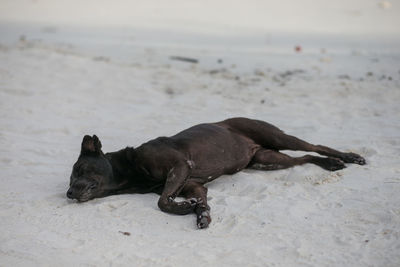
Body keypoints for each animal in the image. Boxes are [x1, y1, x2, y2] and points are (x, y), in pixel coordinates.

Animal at [68, 118, 366, 229]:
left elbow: (162, 201)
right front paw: (198, 212)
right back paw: (331, 165)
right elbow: (195, 201)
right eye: (71, 178)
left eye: (79, 170)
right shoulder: (193, 185)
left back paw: (348, 157)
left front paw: (185, 208)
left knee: (314, 146)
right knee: (303, 159)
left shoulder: (180, 166)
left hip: (277, 137)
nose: (69, 193)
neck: (131, 168)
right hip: (267, 159)